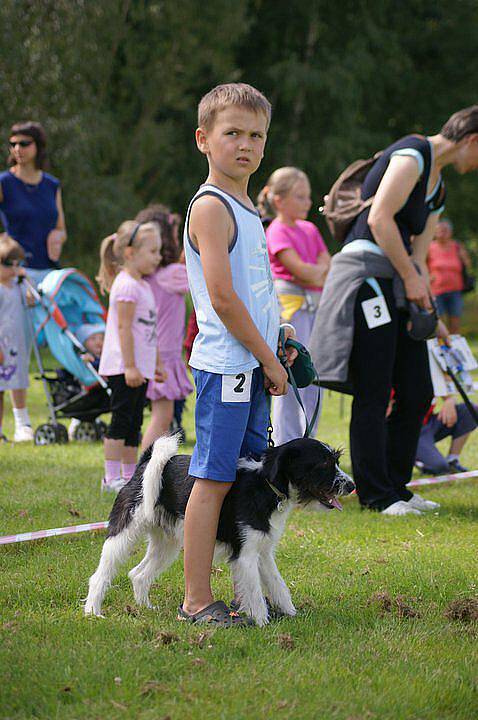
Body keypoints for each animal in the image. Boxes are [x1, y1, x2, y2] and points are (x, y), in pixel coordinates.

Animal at [85, 434, 354, 624]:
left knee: (138, 574)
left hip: (167, 544)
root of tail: (144, 465)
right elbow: (255, 593)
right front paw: (262, 624)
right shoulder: (245, 556)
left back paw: (145, 608)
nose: (351, 486)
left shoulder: (263, 552)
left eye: (336, 461)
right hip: (123, 533)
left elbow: (279, 586)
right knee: (100, 575)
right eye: (324, 464)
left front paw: (291, 615)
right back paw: (92, 612)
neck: (265, 486)